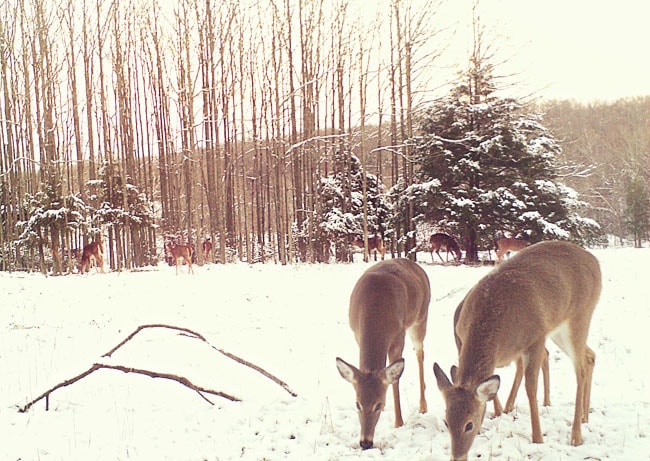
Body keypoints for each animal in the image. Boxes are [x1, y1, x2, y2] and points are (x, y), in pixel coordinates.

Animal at [334, 258, 430, 450]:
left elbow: (395, 381)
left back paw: (423, 405)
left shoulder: (398, 336)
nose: (365, 442)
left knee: (420, 354)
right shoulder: (357, 335)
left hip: (421, 318)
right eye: (357, 404)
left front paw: (399, 422)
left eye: (379, 405)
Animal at [432, 239, 600, 458]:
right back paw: (584, 417)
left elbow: (530, 387)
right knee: (590, 356)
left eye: (469, 425)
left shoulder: (536, 337)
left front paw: (537, 438)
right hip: (558, 330)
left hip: (580, 315)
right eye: (446, 422)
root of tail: (596, 262)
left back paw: (576, 435)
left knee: (579, 369)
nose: (458, 456)